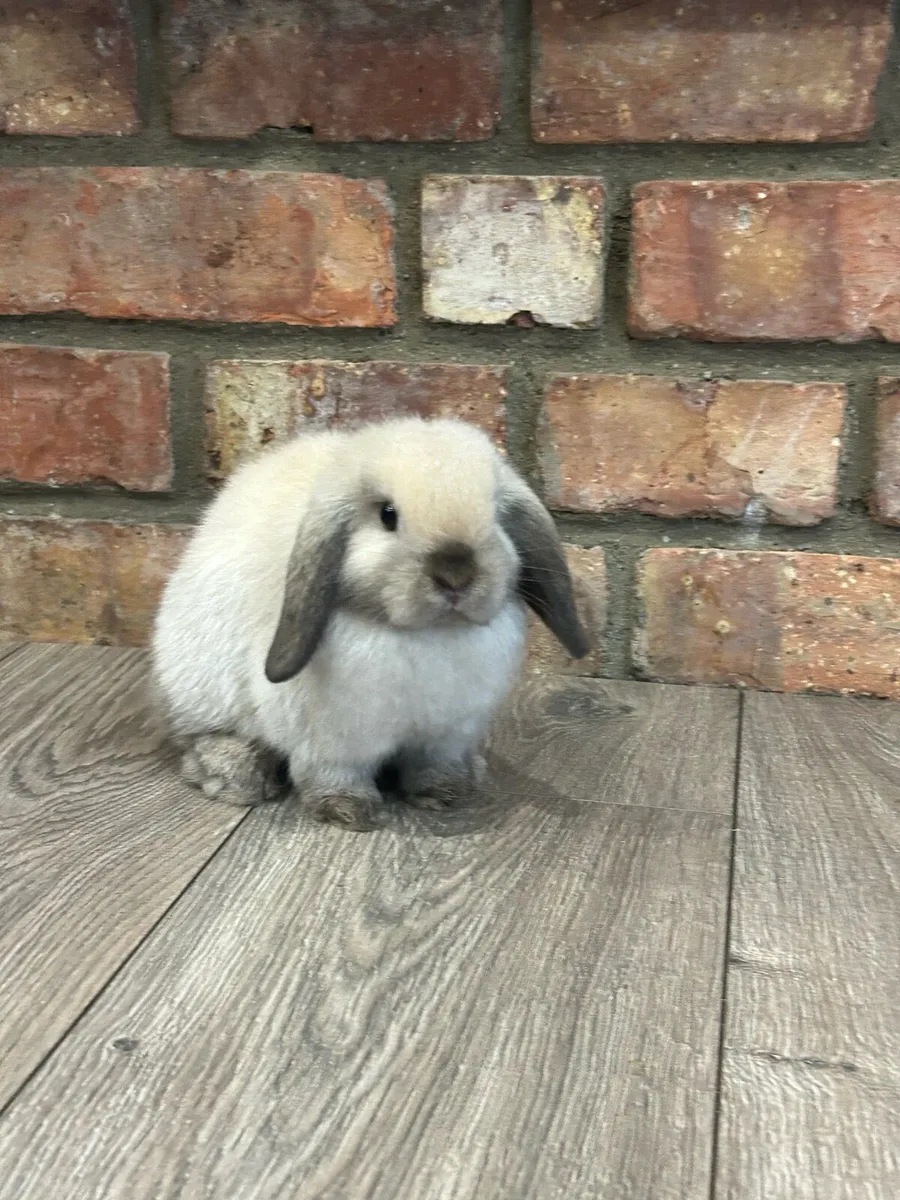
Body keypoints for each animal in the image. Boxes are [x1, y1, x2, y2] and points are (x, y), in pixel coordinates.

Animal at [152, 416, 588, 831]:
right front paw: (347, 810)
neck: (427, 634)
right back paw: (237, 776)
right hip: (204, 693)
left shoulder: (447, 733)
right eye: (387, 515)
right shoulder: (333, 742)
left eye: (496, 514)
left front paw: (446, 793)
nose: (455, 574)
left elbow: (434, 765)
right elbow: (333, 774)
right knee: (207, 738)